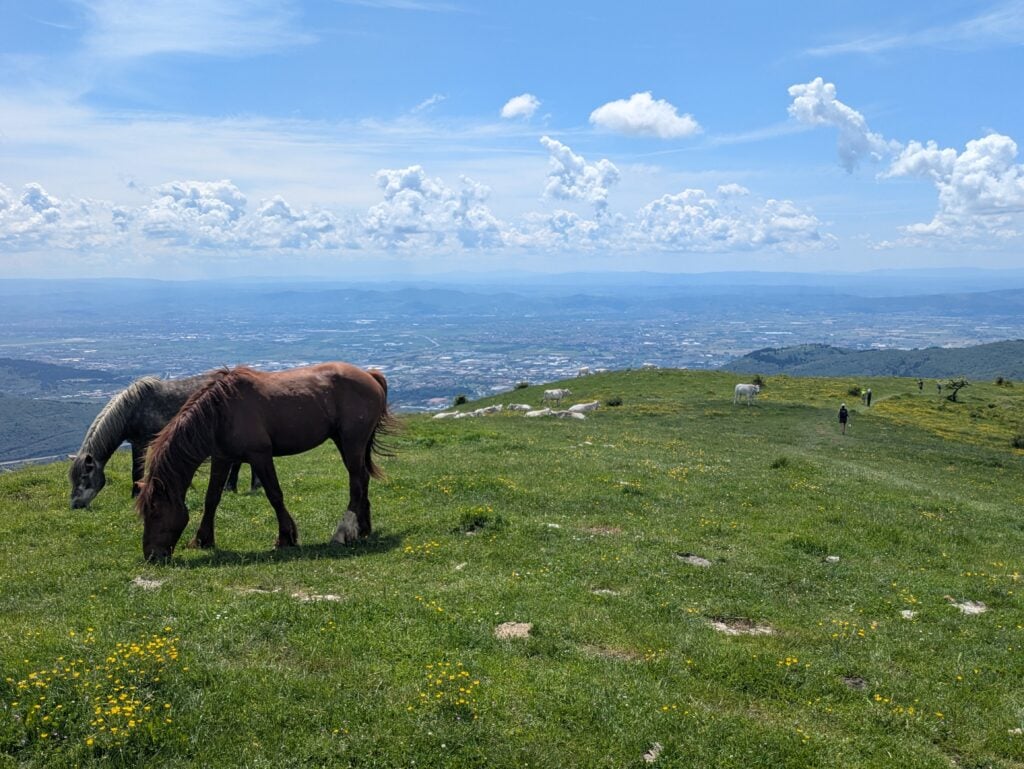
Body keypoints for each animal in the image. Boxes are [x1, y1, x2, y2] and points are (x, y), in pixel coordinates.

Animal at [69, 374, 260, 509]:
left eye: (84, 477)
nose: (75, 506)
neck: (132, 409)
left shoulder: (141, 443)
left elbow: (136, 471)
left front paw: (135, 495)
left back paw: (234, 487)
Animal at [135, 363, 393, 562]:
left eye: (155, 512)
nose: (152, 556)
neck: (220, 413)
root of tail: (370, 375)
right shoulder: (221, 459)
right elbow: (212, 499)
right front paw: (202, 539)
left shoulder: (260, 456)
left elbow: (274, 495)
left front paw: (286, 537)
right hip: (345, 442)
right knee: (362, 478)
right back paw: (363, 529)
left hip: (351, 442)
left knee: (356, 482)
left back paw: (342, 533)